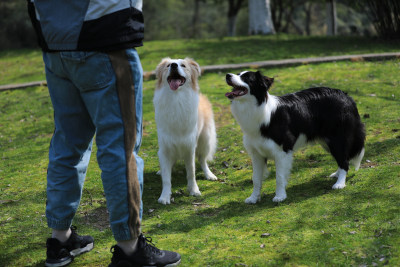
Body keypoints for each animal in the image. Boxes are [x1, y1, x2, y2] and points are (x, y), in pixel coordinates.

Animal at [153, 58, 217, 205]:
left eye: (183, 65)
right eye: (168, 65)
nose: (174, 65)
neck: (176, 98)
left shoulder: (189, 147)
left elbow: (191, 172)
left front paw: (194, 190)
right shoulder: (165, 148)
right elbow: (166, 178)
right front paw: (165, 196)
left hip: (205, 141)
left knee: (202, 160)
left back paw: (209, 174)